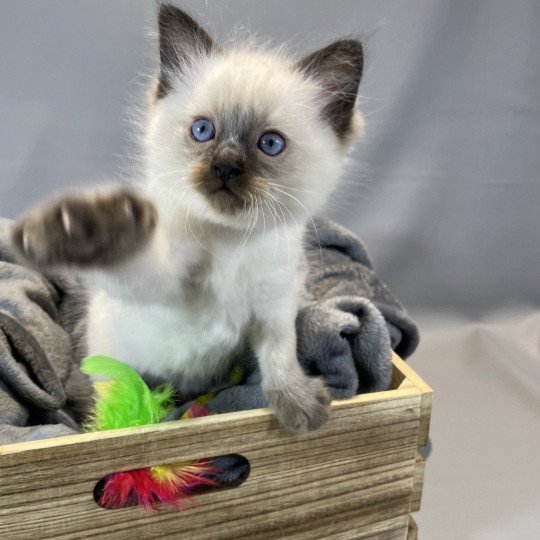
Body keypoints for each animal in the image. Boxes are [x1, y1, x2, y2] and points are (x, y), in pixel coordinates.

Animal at [10, 4, 364, 432]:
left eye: (269, 143)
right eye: (203, 130)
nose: (225, 166)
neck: (231, 242)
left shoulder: (274, 306)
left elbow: (280, 356)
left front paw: (297, 406)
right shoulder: (161, 284)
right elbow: (134, 260)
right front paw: (87, 228)